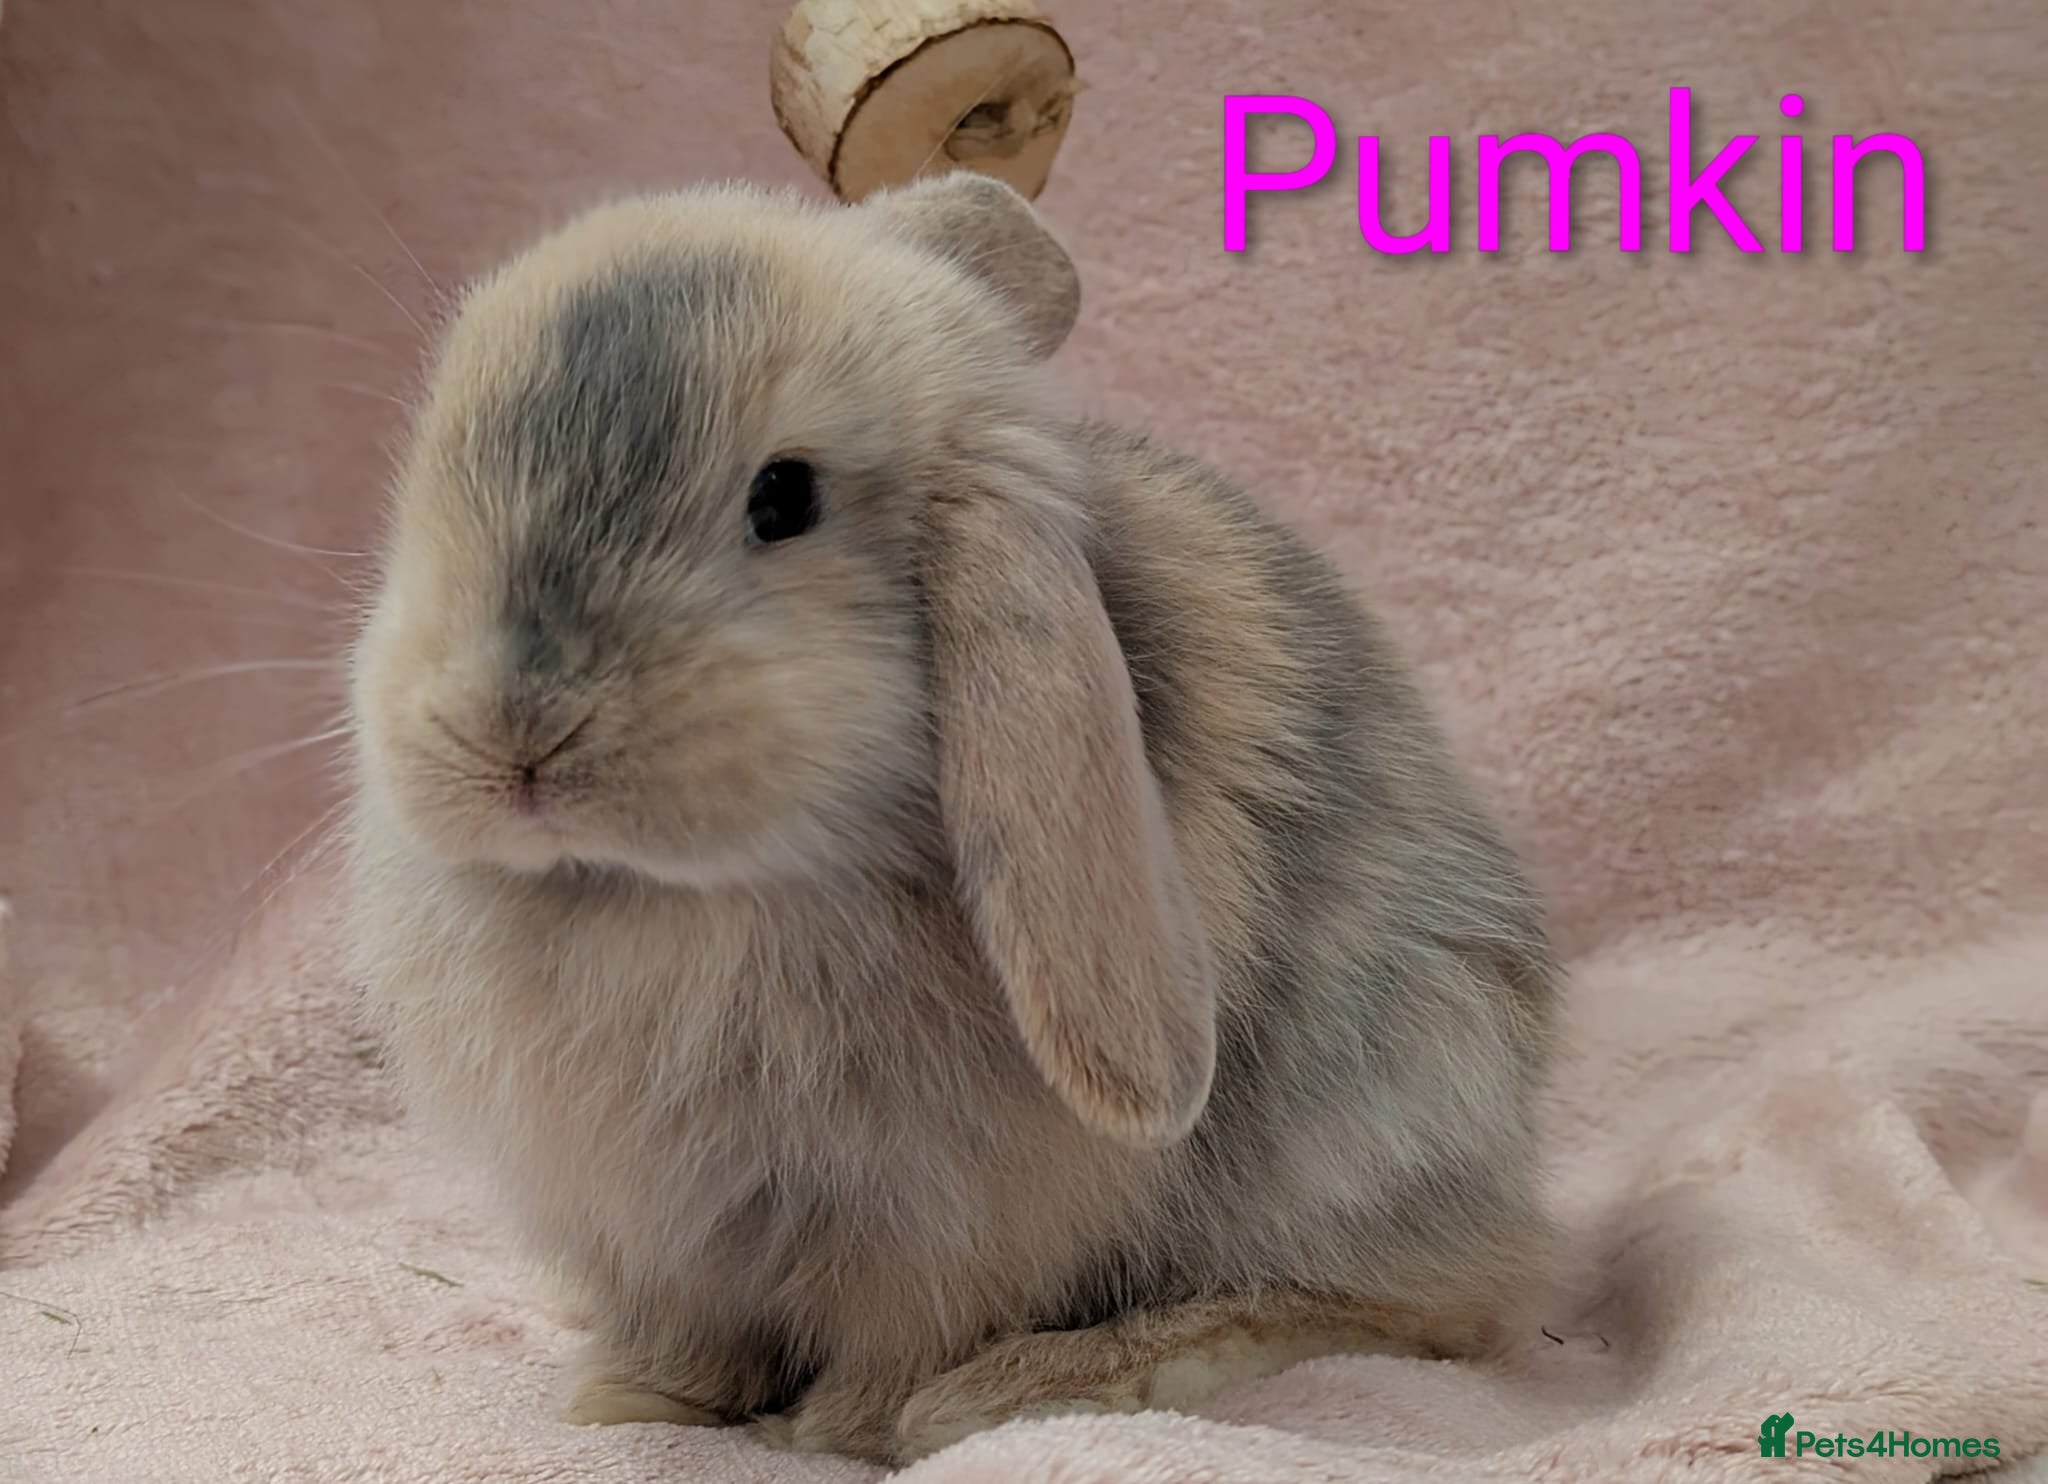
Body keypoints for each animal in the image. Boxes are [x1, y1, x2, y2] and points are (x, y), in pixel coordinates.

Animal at [341, 170, 1560, 1467]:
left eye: (784, 495)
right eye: (437, 447)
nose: (511, 734)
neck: (671, 892)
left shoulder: (941, 1222)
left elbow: (899, 1329)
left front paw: (839, 1429)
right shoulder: (647, 1223)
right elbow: (686, 1326)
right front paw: (630, 1396)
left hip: (1385, 1096)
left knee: (1416, 1298)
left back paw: (1035, 1380)